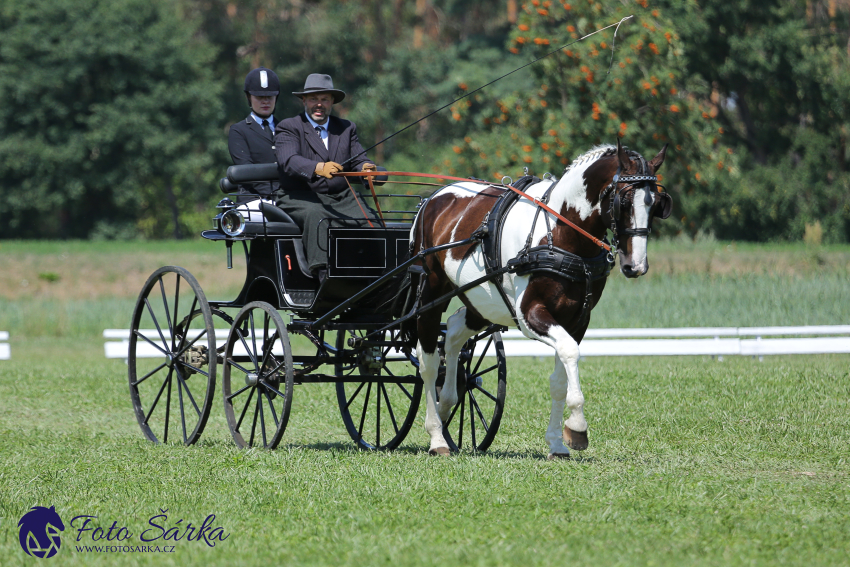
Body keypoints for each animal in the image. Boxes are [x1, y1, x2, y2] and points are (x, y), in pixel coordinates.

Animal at [410, 140, 668, 460]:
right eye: (625, 200)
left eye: (656, 204)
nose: (636, 266)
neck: (559, 231)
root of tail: (433, 198)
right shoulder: (530, 314)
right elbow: (570, 352)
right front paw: (578, 428)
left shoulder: (577, 319)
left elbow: (560, 377)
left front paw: (557, 442)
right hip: (431, 294)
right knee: (428, 362)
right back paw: (437, 436)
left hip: (481, 300)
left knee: (455, 333)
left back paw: (446, 404)